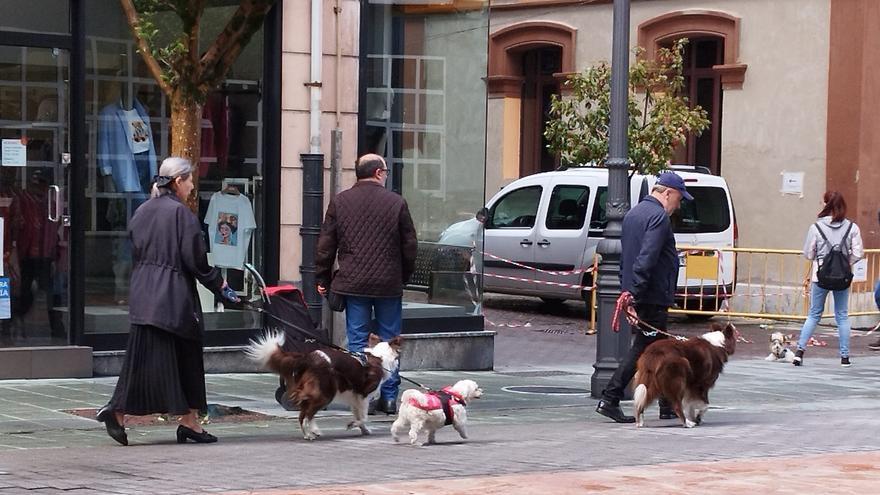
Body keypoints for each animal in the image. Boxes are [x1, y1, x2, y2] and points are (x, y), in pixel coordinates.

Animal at [244, 332, 402, 440]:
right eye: (397, 357)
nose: (397, 363)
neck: (379, 358)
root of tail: (307, 358)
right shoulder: (363, 395)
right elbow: (363, 417)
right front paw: (352, 424)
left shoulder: (354, 398)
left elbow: (359, 416)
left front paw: (364, 430)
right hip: (326, 393)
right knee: (308, 414)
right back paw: (314, 431)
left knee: (303, 415)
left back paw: (308, 434)